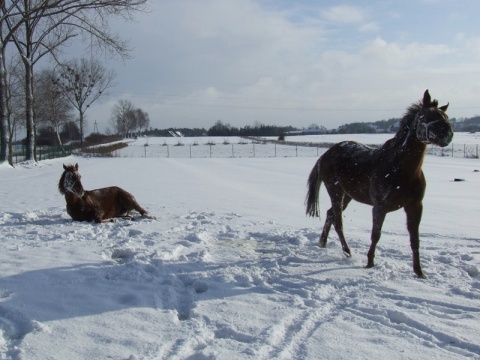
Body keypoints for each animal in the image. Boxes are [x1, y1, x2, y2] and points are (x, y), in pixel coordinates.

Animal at [306, 90, 452, 278]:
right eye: (427, 115)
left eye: (445, 116)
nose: (447, 134)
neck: (401, 168)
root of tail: (325, 155)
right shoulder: (380, 207)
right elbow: (376, 234)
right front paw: (369, 263)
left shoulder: (415, 206)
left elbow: (415, 239)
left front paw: (419, 272)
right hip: (336, 191)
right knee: (338, 222)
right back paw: (347, 252)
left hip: (348, 196)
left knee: (330, 214)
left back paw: (323, 243)